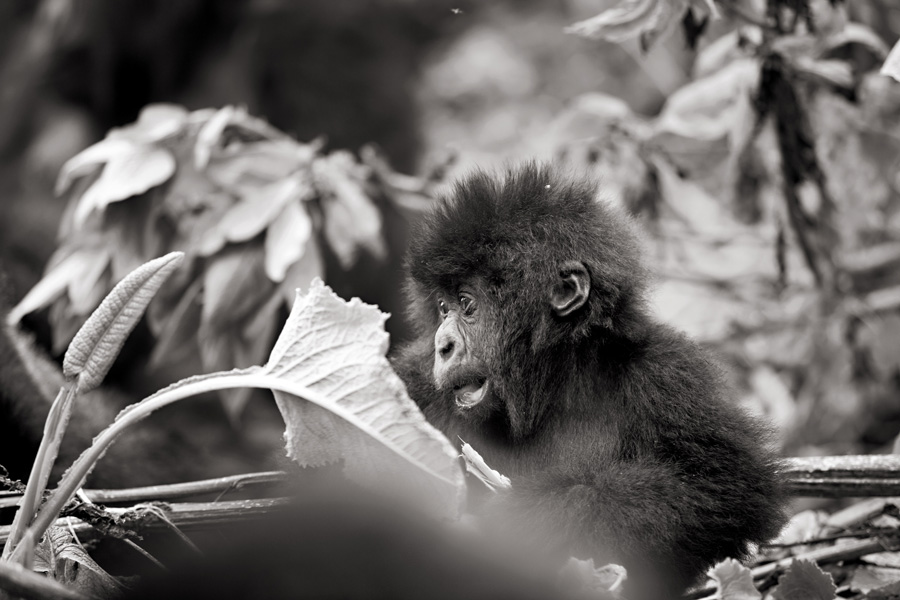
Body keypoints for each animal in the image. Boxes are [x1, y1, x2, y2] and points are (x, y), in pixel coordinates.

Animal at [392, 163, 787, 598]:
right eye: (442, 308)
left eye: (466, 304)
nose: (442, 345)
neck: (554, 385)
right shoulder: (413, 383)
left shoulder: (670, 372)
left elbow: (721, 484)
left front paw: (529, 520)